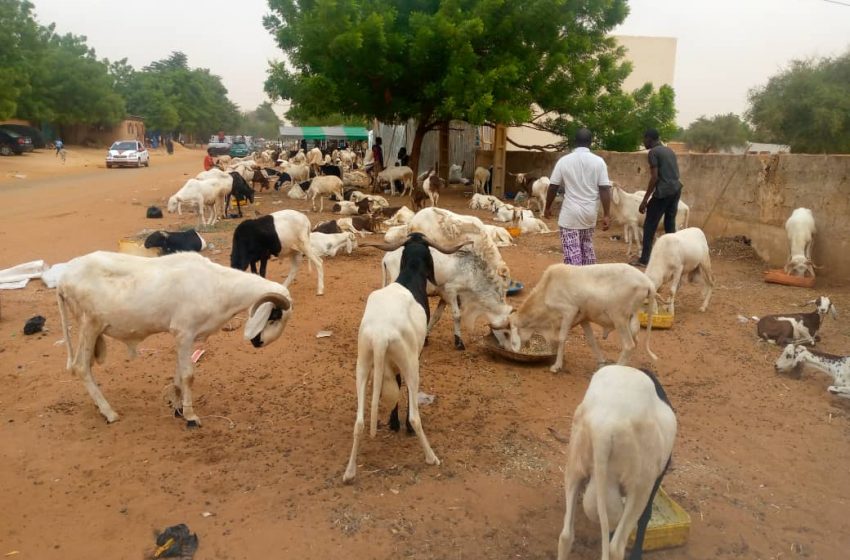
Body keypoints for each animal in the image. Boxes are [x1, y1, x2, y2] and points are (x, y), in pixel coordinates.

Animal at [342, 232, 468, 482]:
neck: (409, 276)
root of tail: (381, 335)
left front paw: (392, 422)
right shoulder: (414, 355)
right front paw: (400, 425)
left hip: (363, 364)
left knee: (359, 423)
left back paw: (350, 472)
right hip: (411, 365)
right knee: (414, 416)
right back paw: (431, 457)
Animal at [494, 264, 660, 374]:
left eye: (507, 333)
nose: (507, 349)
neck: (548, 288)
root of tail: (648, 283)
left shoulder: (569, 312)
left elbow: (561, 338)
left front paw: (556, 366)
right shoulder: (583, 318)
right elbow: (591, 340)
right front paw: (601, 362)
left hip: (619, 318)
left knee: (629, 345)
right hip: (631, 320)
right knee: (636, 342)